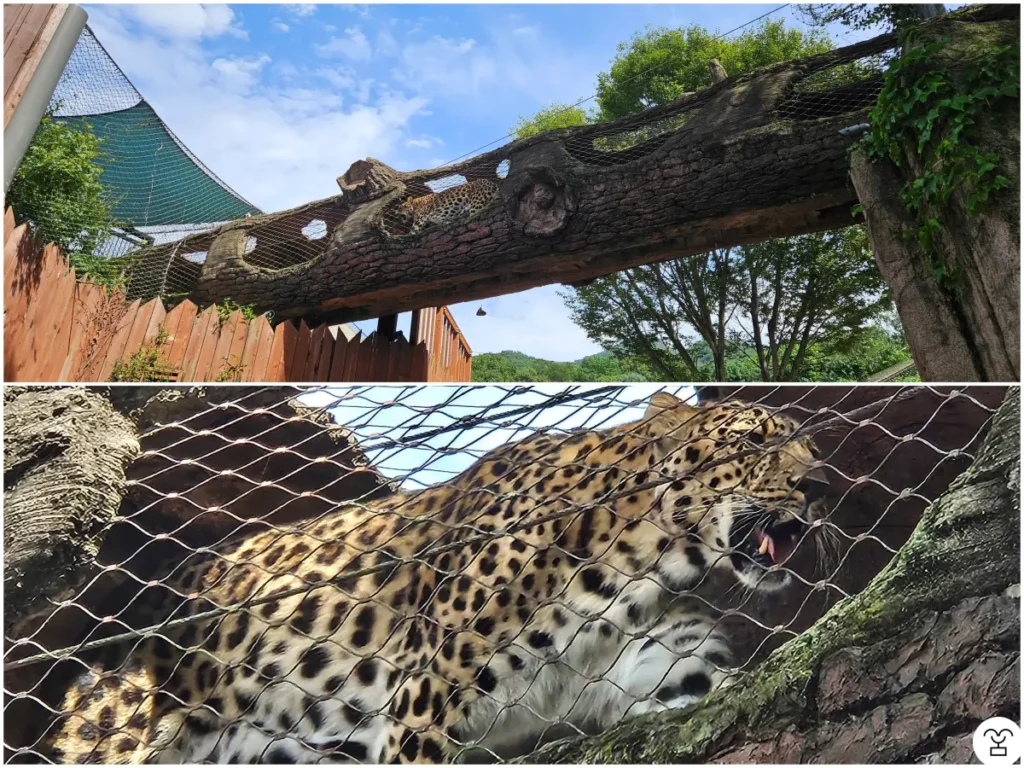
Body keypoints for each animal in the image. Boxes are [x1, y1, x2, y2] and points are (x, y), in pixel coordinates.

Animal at [42, 392, 830, 764]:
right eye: (752, 443)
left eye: (810, 448)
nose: (819, 485)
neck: (641, 566)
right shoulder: (424, 696)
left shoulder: (664, 668)